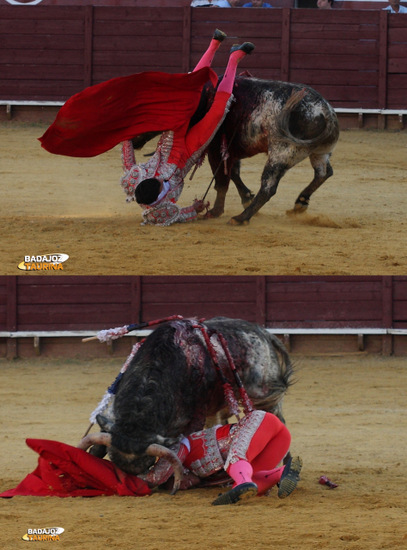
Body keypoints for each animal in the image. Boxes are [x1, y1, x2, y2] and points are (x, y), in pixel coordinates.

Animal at [77, 316, 294, 490]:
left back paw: (285, 468)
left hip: (261, 392)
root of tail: (264, 333)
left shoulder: (189, 422)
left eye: (147, 464)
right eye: (114, 461)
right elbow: (98, 446)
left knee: (279, 419)